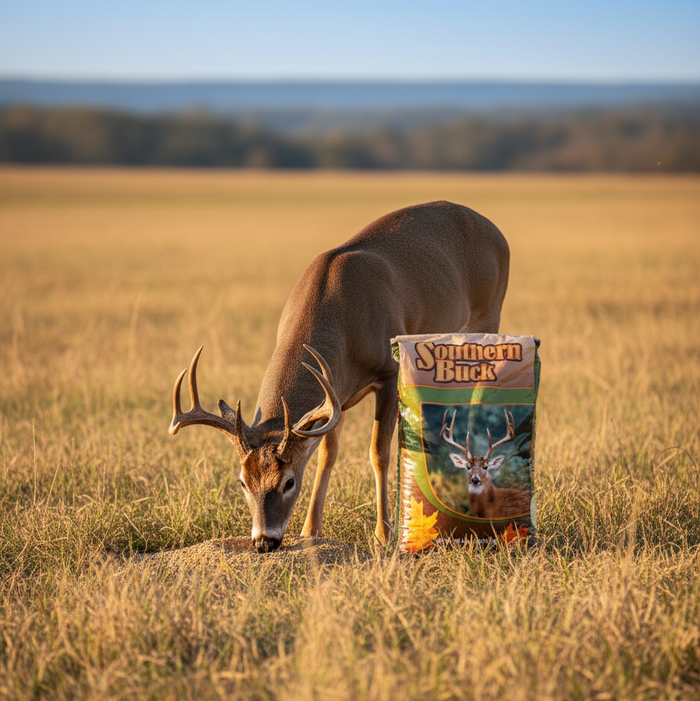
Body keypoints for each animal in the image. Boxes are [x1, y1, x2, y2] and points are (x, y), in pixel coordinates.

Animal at [169, 200, 510, 552]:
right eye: (243, 482)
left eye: (288, 482)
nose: (264, 541)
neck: (341, 318)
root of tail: (494, 229)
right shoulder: (336, 394)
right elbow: (326, 456)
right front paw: (310, 530)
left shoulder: (389, 372)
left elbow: (378, 453)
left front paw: (383, 535)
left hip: (487, 318)